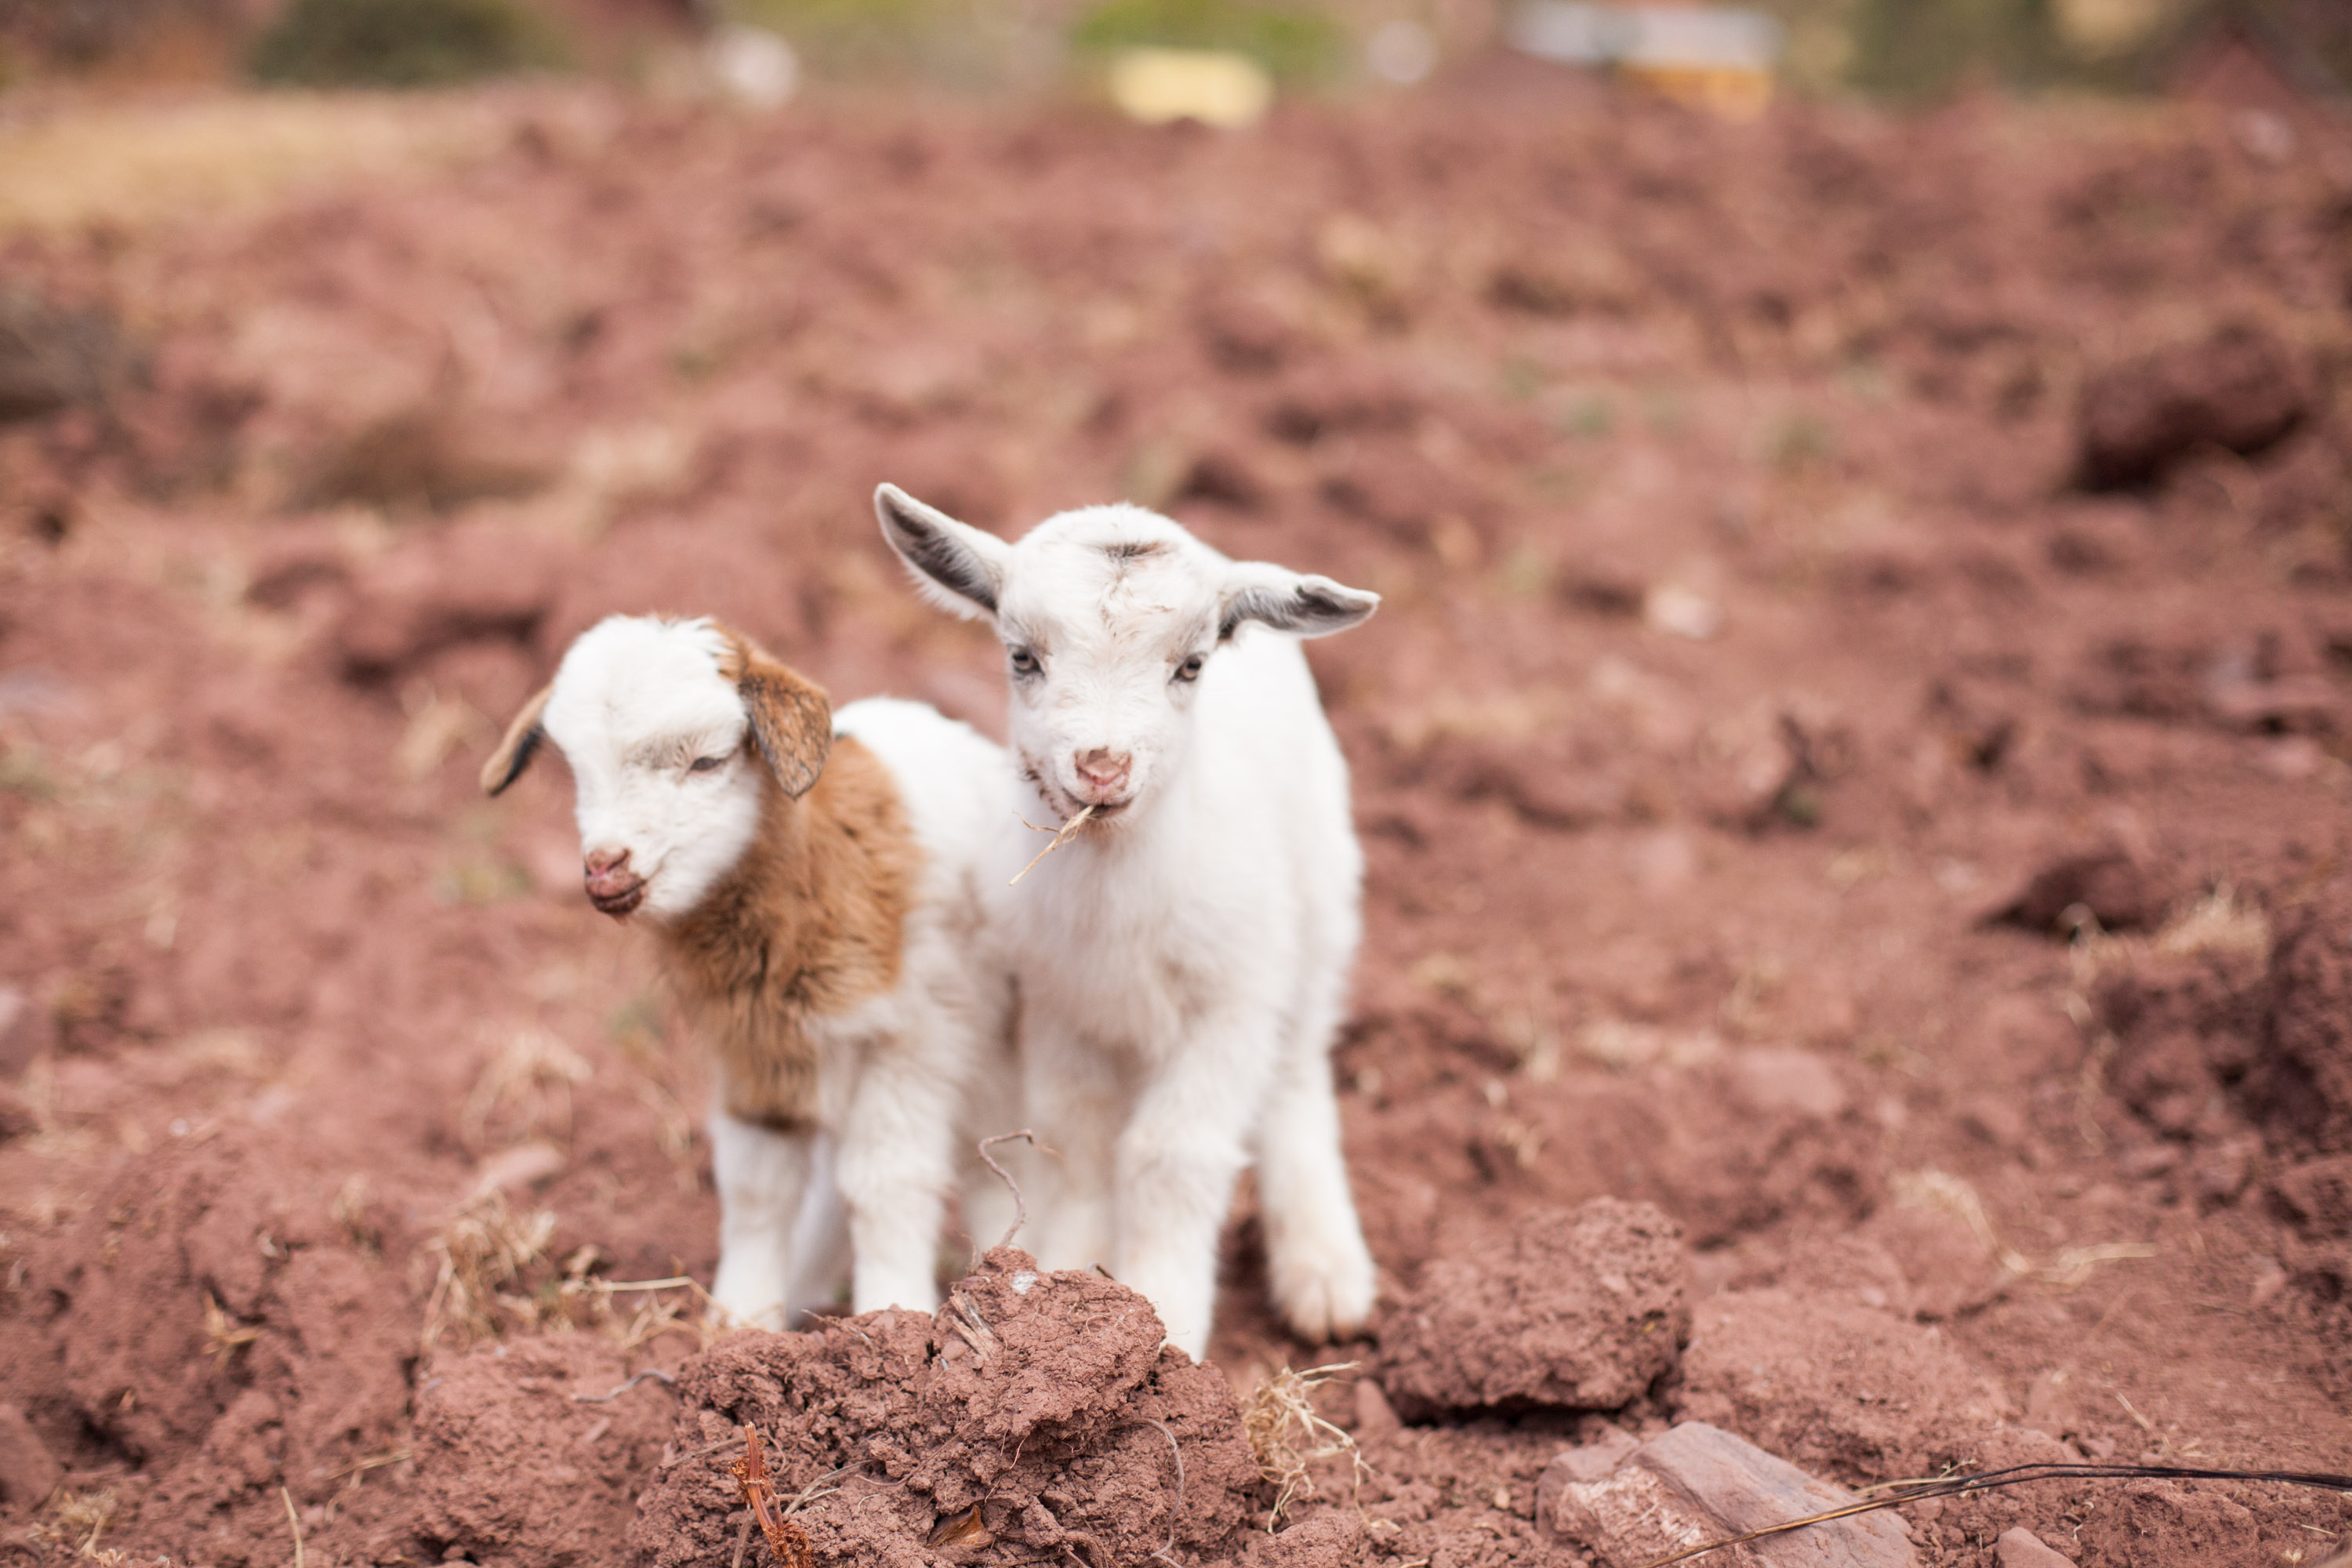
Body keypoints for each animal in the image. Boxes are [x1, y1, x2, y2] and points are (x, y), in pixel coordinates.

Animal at [481, 614, 1016, 1327]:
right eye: (576, 771)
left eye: (708, 761)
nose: (606, 870)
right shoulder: (755, 1050)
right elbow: (757, 1190)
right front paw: (739, 1326)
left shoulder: (914, 1038)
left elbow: (887, 1183)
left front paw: (894, 1316)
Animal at [875, 483, 1380, 1358]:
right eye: (1022, 657)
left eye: (1192, 664)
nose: (1103, 767)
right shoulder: (1061, 1009)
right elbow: (1077, 1144)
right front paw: (1072, 1284)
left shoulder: (1228, 1006)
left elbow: (1169, 1155)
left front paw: (1167, 1321)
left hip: (1319, 905)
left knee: (1298, 1070)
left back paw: (1323, 1271)